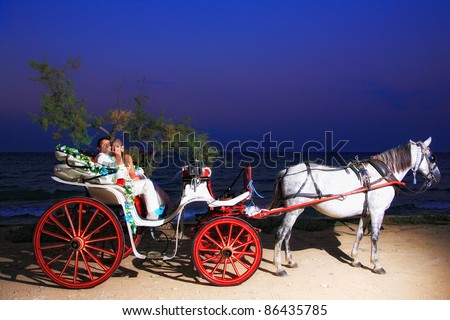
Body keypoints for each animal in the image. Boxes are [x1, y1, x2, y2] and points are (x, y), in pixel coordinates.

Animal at [270, 137, 440, 276]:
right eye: (432, 157)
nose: (437, 176)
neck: (381, 175)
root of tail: (286, 170)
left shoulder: (366, 213)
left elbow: (359, 234)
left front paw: (355, 259)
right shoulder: (378, 212)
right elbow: (375, 237)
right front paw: (376, 264)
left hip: (296, 210)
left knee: (287, 234)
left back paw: (290, 261)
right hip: (293, 210)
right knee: (280, 233)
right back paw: (279, 267)